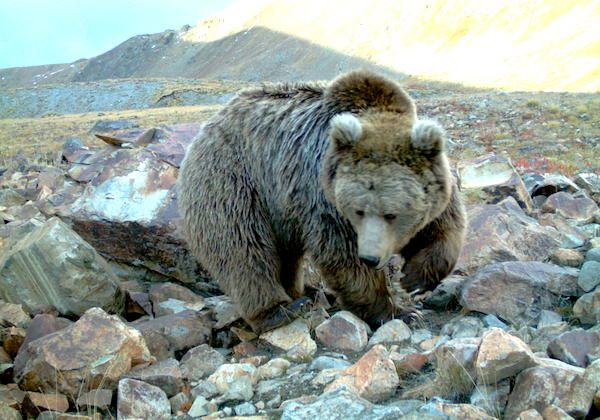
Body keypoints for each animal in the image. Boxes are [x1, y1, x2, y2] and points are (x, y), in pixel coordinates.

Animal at [176, 71, 466, 334]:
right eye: (358, 211)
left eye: (392, 214)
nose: (370, 257)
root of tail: (208, 126)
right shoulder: (322, 195)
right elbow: (342, 256)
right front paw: (397, 311)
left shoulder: (436, 188)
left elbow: (443, 229)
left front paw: (414, 278)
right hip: (235, 183)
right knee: (243, 248)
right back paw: (280, 309)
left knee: (284, 255)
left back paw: (303, 291)